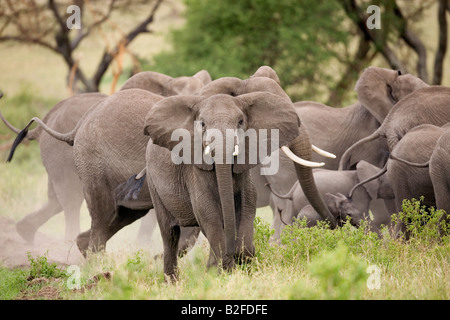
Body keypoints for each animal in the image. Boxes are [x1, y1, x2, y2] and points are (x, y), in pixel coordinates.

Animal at [117, 90, 338, 280]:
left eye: (240, 122)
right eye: (202, 124)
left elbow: (247, 204)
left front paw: (241, 266)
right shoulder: (194, 169)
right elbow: (208, 212)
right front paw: (227, 271)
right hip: (154, 184)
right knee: (169, 234)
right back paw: (173, 282)